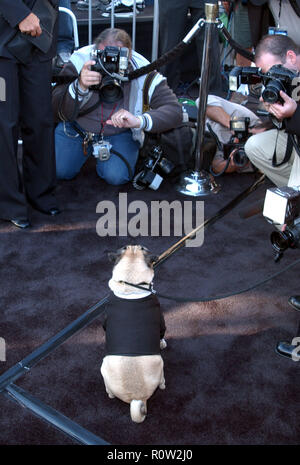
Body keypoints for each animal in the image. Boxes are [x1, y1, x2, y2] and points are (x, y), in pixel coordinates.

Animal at [100, 245, 166, 422]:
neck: (132, 285)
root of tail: (136, 397)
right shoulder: (161, 320)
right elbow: (162, 334)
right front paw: (162, 343)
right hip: (160, 362)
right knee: (162, 380)